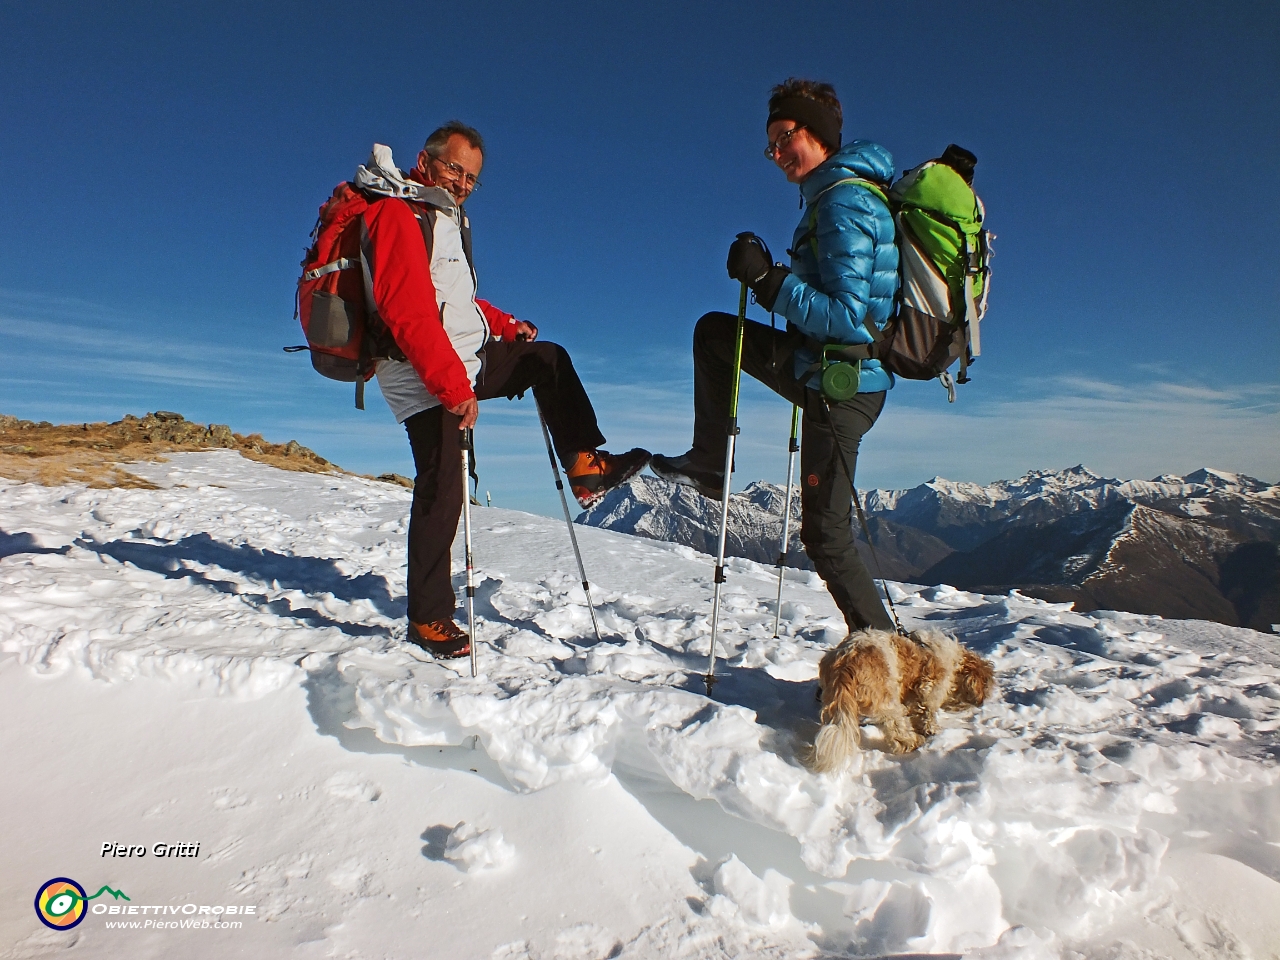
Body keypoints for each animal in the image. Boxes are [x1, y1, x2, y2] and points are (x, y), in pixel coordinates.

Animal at [808, 624, 998, 773]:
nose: (981, 702)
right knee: (896, 730)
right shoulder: (928, 690)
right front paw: (931, 730)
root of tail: (845, 662)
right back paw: (913, 742)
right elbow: (927, 713)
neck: (954, 662)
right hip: (888, 701)